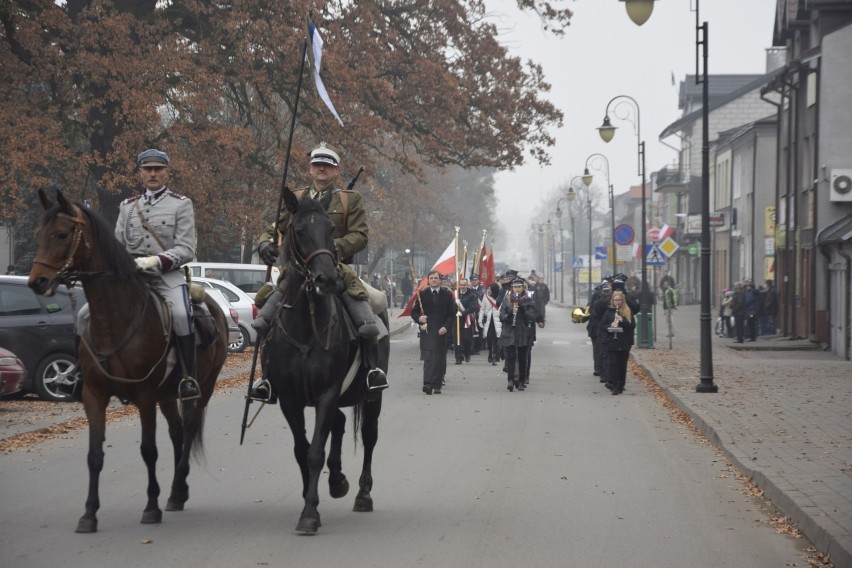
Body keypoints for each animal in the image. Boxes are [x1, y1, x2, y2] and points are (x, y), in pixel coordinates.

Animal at [27, 191, 226, 532]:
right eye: (39, 234)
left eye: (62, 234)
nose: (37, 282)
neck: (115, 319)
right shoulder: (94, 395)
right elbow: (94, 454)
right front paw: (89, 514)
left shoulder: (144, 395)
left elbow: (148, 450)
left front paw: (151, 508)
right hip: (166, 394)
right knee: (176, 432)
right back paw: (177, 494)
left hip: (204, 387)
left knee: (186, 432)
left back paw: (175, 490)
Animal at [262, 190, 390, 532]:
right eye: (298, 230)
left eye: (331, 229)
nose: (328, 279)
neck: (306, 326)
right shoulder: (290, 399)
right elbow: (301, 449)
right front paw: (311, 497)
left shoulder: (328, 393)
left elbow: (315, 452)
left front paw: (310, 513)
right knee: (341, 424)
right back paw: (336, 481)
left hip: (372, 397)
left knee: (369, 436)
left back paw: (362, 494)